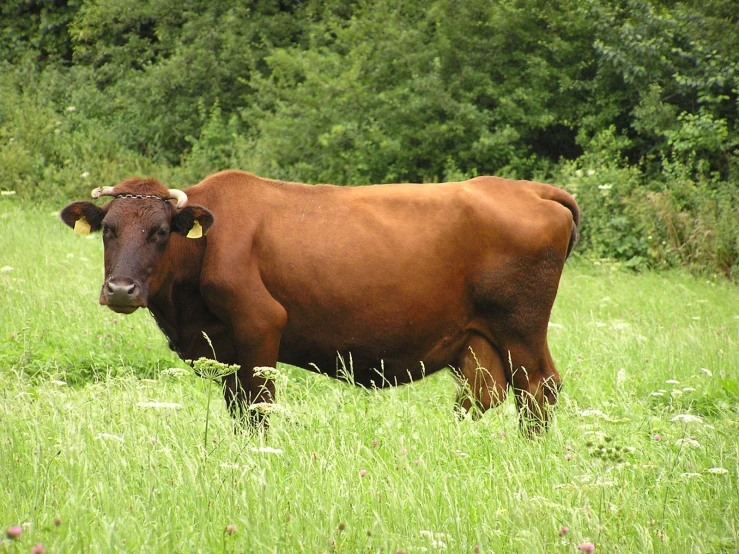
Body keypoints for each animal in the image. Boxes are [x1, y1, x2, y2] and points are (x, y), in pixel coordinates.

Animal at [60, 168, 580, 432]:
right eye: (108, 229)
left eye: (161, 232)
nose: (121, 289)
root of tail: (530, 188)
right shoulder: (224, 348)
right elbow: (238, 408)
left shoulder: (261, 325)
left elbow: (258, 409)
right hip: (479, 343)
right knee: (484, 395)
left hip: (521, 329)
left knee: (539, 390)